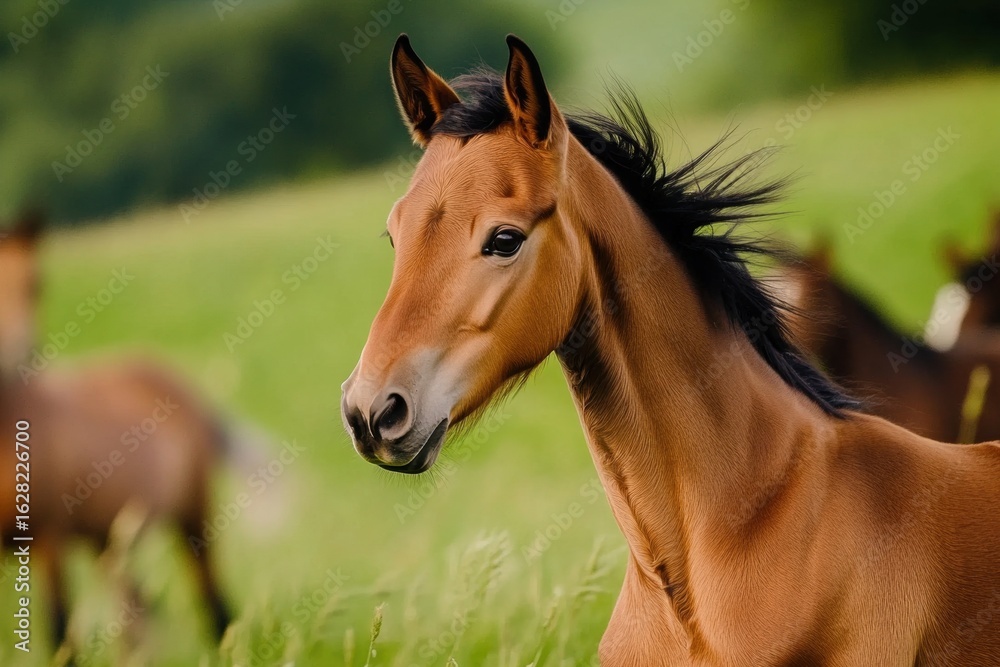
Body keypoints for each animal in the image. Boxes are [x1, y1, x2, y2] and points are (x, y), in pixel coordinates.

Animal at [0, 212, 235, 653]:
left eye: (38, 283)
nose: (17, 349)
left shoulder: (48, 537)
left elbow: (59, 629)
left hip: (192, 518)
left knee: (213, 605)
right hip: (110, 541)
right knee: (137, 614)